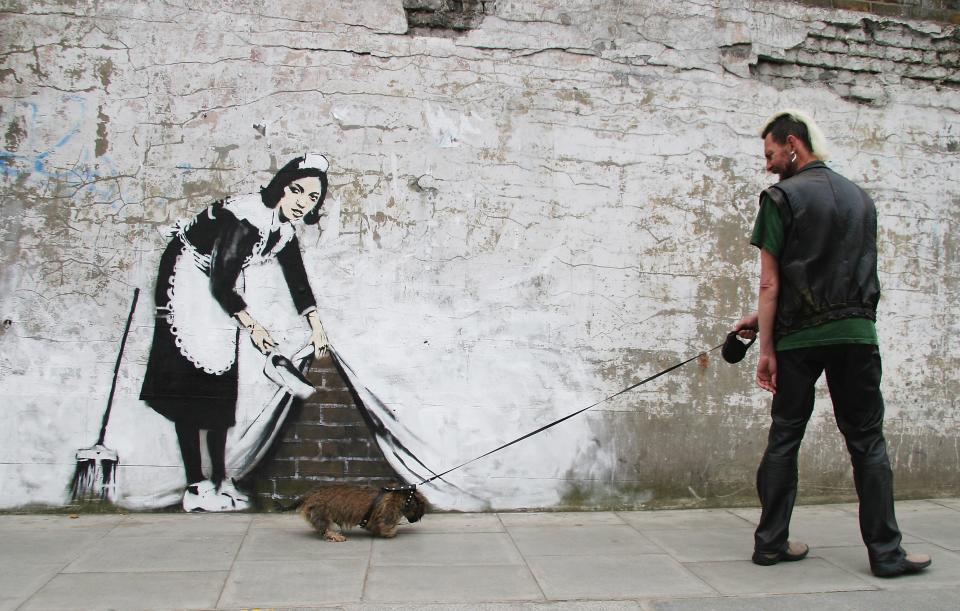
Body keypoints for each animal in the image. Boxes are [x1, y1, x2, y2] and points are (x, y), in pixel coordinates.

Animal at [300, 486, 428, 544]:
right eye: (420, 506)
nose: (417, 519)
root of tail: (309, 495)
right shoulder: (387, 515)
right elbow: (386, 526)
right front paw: (390, 533)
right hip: (322, 514)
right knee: (325, 528)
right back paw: (335, 536)